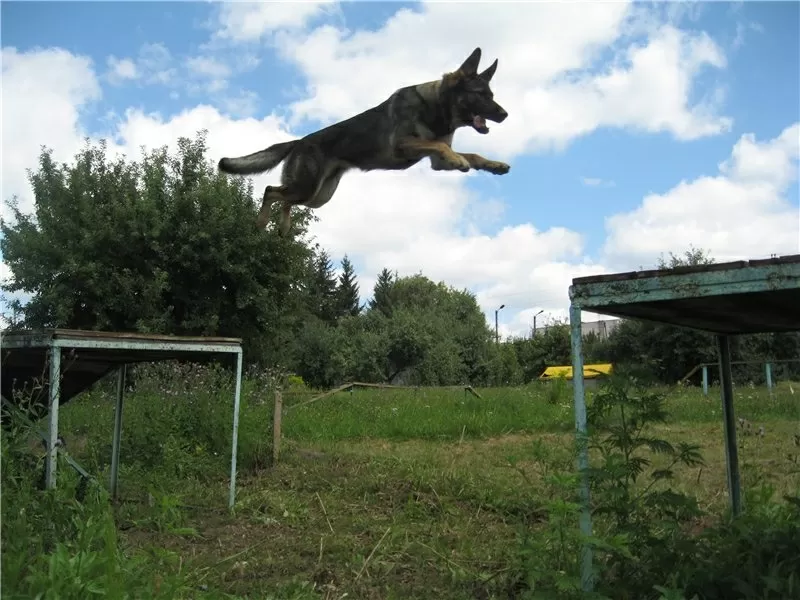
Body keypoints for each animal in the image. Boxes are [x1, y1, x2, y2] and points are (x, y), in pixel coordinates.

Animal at [216, 47, 510, 234]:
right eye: (480, 94)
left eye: (492, 95)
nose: (505, 115)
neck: (436, 106)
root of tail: (299, 141)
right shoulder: (403, 145)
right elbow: (442, 146)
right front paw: (462, 160)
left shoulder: (438, 162)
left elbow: (472, 155)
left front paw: (493, 165)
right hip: (308, 188)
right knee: (270, 191)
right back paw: (261, 223)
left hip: (318, 196)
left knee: (285, 200)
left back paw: (283, 228)